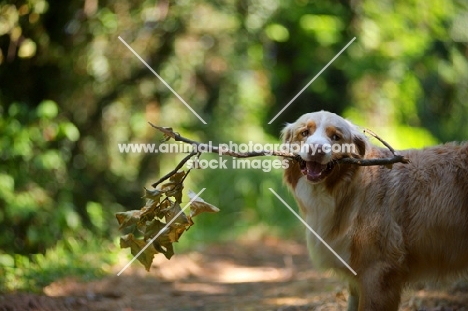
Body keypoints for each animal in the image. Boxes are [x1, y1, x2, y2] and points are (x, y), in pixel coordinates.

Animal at [282, 111, 468, 311]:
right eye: (305, 133)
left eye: (335, 137)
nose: (316, 150)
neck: (348, 188)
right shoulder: (357, 278)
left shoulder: (377, 273)